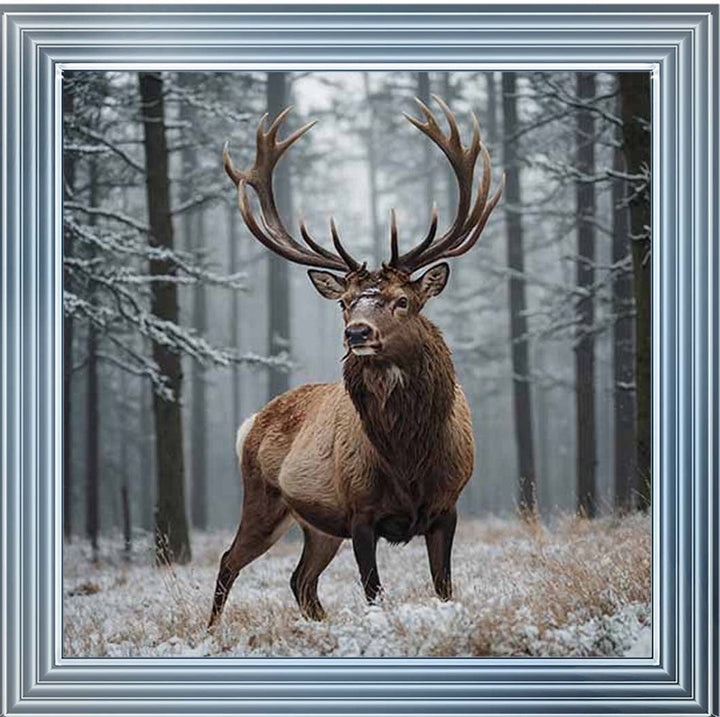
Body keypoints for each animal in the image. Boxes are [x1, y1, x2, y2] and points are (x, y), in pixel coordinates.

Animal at [208, 95, 503, 627]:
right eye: (345, 303)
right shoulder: (360, 512)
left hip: (318, 527)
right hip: (264, 500)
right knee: (229, 560)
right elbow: (373, 592)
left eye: (403, 301)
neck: (409, 459)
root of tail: (251, 422)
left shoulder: (448, 507)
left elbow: (444, 587)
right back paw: (212, 631)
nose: (357, 333)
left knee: (300, 580)